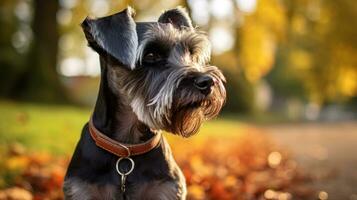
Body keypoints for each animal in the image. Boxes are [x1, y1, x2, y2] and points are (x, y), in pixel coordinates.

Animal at [63, 6, 225, 200]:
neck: (127, 151)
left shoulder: (166, 190)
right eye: (151, 55)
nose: (207, 81)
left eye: (191, 53)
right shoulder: (82, 190)